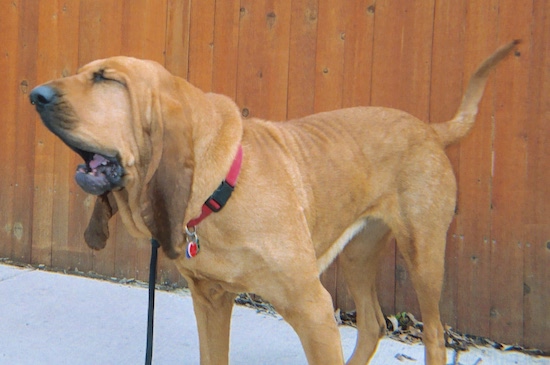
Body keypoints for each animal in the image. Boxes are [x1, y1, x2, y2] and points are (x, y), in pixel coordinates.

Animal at [30, 41, 520, 362]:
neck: (219, 190)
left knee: (435, 334)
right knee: (373, 324)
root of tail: (431, 129)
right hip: (359, 253)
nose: (34, 94)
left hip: (424, 255)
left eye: (105, 79)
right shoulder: (210, 300)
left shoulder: (313, 308)